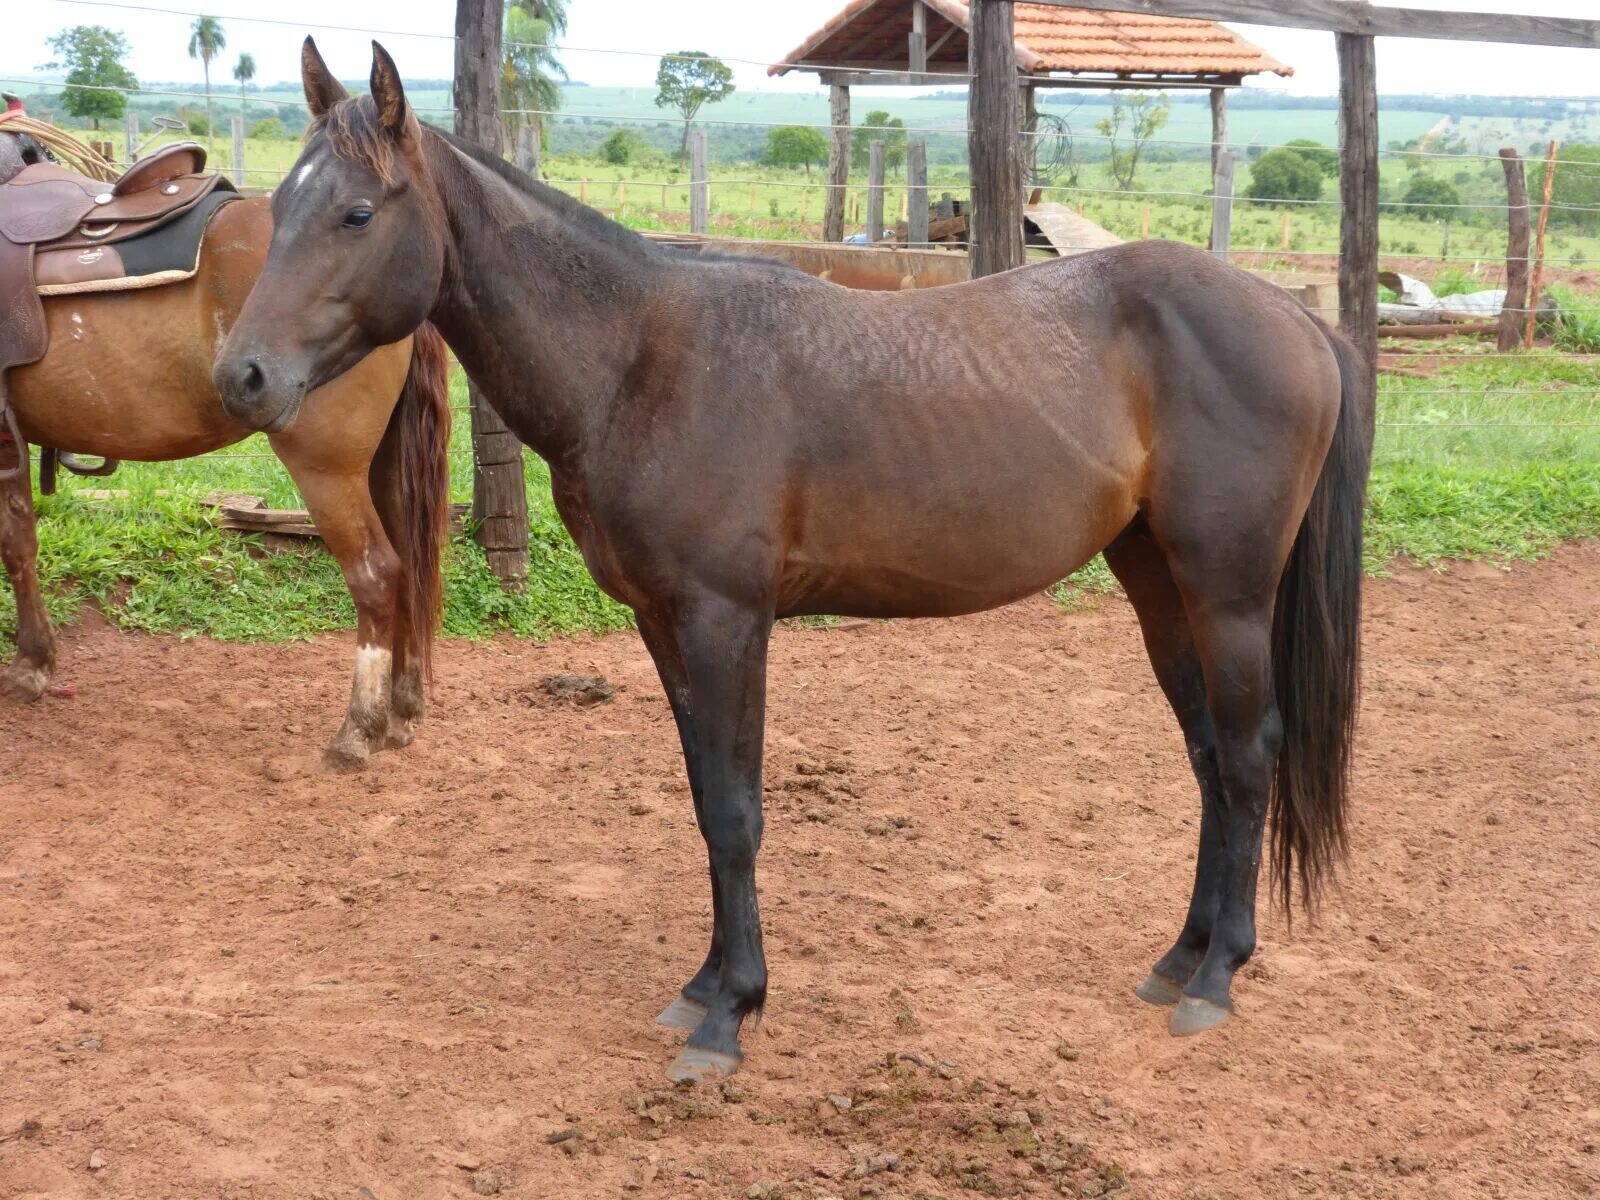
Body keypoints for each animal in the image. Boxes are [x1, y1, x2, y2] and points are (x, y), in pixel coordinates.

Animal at [1, 122, 451, 771]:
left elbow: (16, 546)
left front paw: (31, 664)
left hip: (328, 471)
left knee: (376, 573)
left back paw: (358, 729)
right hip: (384, 463)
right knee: (410, 562)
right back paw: (401, 711)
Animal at [216, 42, 1376, 1088]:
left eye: (356, 214)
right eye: (285, 207)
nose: (242, 376)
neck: (636, 359)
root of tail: (1298, 320)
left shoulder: (727, 620)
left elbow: (737, 813)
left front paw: (730, 1015)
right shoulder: (663, 623)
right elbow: (704, 800)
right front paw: (703, 986)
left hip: (1226, 595)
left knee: (1248, 755)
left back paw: (1216, 978)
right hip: (1157, 586)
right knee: (1210, 760)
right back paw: (1179, 957)